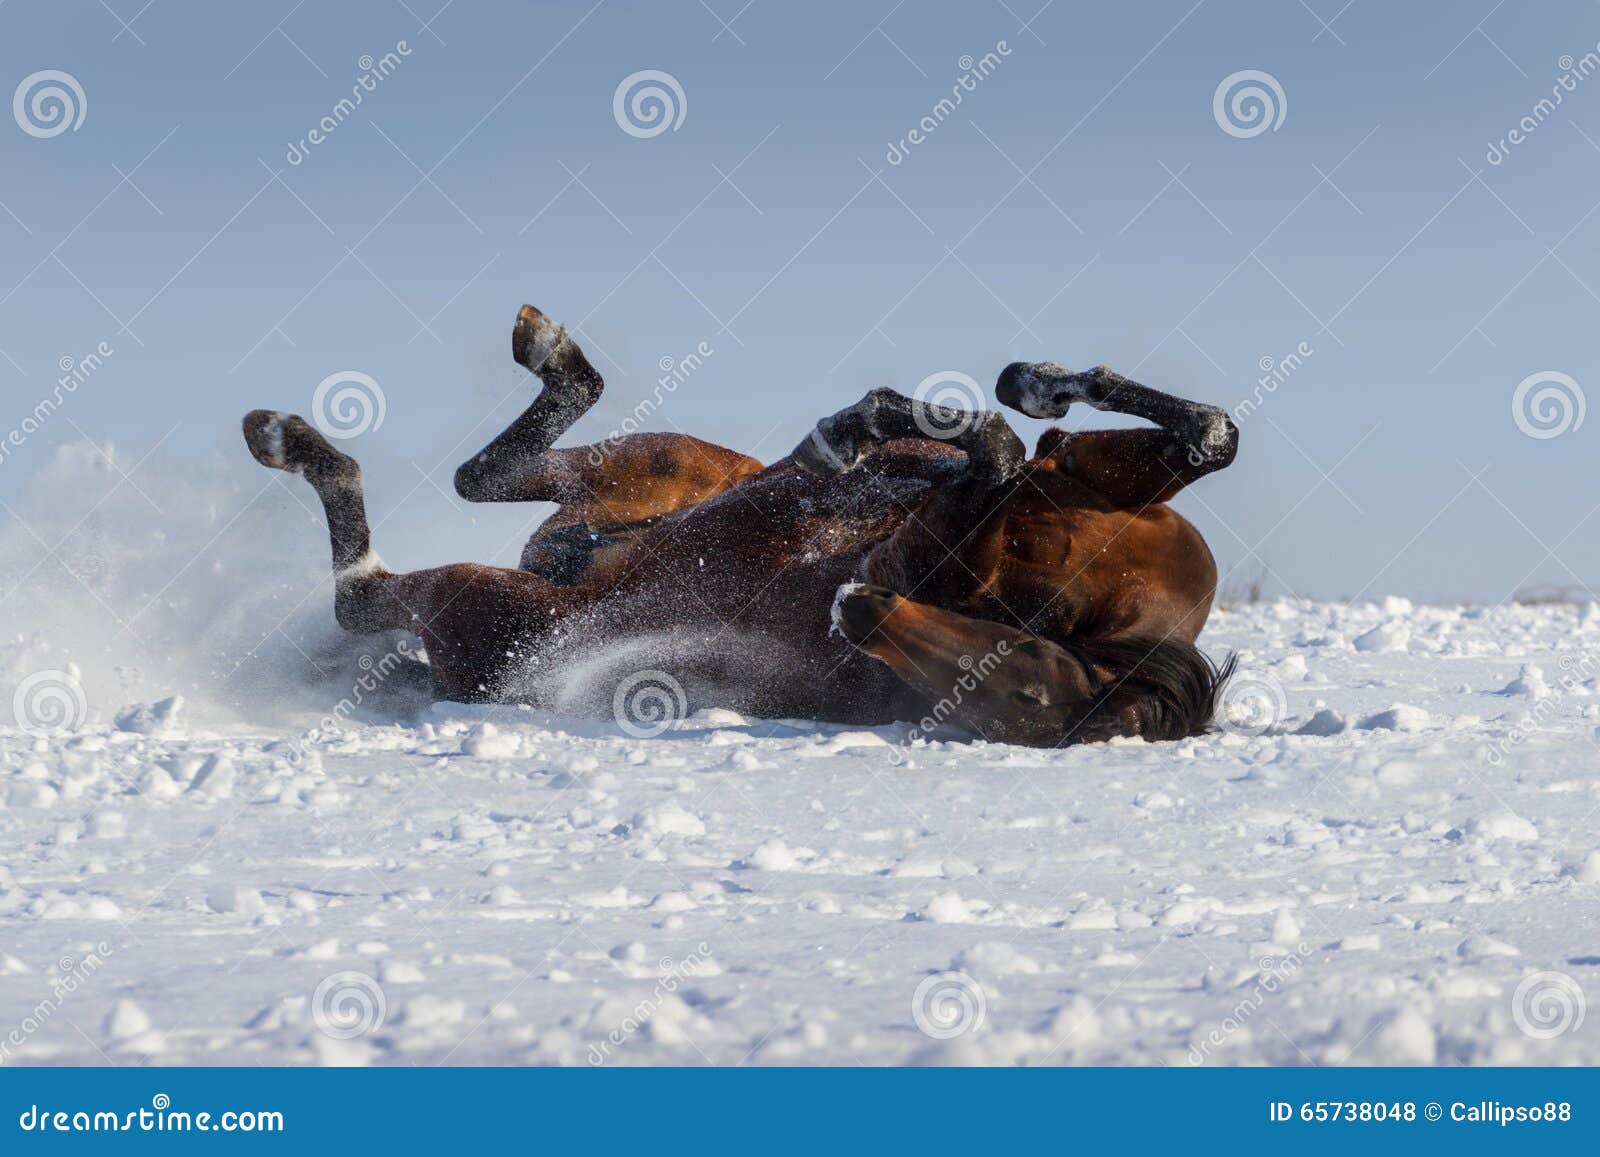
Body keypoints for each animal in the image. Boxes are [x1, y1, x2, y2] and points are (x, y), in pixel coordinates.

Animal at [242, 304, 1239, 747]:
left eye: (1024, 695)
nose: (855, 609)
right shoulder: (1108, 497)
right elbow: (1206, 436)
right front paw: (1032, 384)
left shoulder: (922, 551)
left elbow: (989, 453)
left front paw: (859, 432)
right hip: (671, 464)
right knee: (502, 472)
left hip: (487, 603)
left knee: (370, 588)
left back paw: (292, 442)